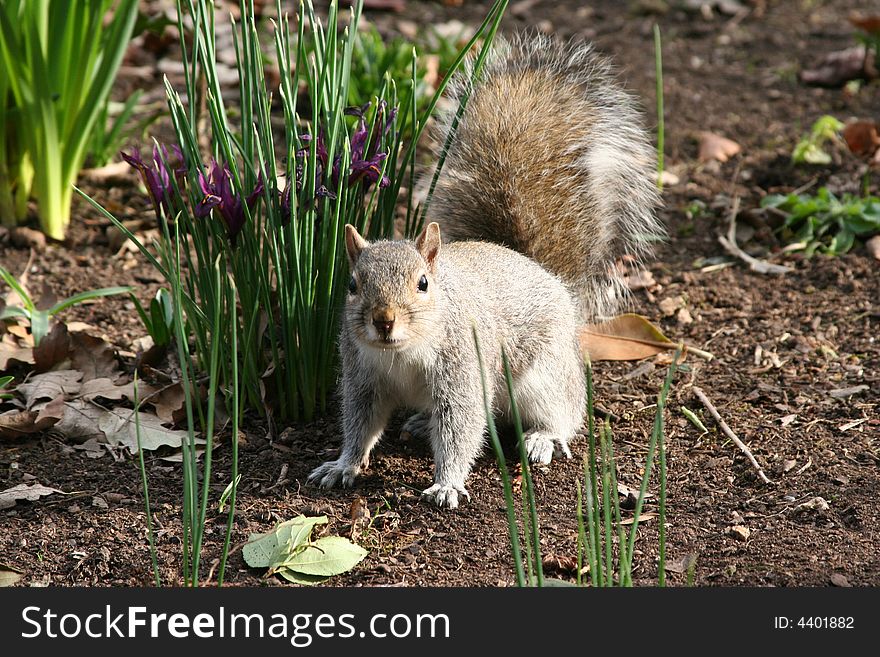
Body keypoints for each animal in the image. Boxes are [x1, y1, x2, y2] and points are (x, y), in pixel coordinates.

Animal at [310, 34, 660, 508]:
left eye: (423, 283)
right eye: (352, 284)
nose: (383, 321)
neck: (401, 352)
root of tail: (548, 277)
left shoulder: (462, 371)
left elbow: (461, 428)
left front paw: (447, 483)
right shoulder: (362, 376)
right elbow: (360, 424)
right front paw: (343, 464)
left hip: (543, 373)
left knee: (564, 411)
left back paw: (542, 438)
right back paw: (420, 423)